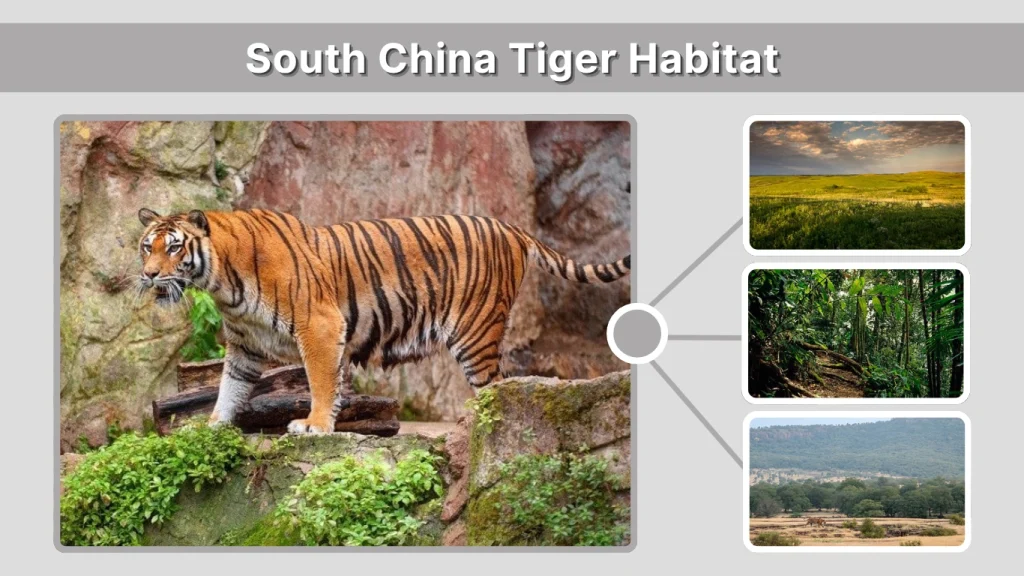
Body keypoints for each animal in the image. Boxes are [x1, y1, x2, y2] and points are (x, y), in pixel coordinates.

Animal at [136, 207, 631, 434]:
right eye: (147, 246)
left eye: (175, 247)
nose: (149, 275)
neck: (222, 281)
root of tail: (510, 226)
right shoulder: (245, 345)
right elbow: (230, 387)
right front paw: (212, 425)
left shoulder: (319, 325)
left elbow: (320, 381)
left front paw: (314, 425)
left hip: (476, 332)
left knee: (498, 388)